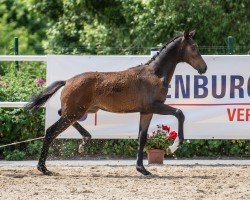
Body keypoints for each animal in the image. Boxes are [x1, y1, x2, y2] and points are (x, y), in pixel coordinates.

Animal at [26, 29, 208, 175]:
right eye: (194, 47)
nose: (204, 68)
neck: (155, 74)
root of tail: (68, 81)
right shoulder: (154, 106)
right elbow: (179, 113)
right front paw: (173, 146)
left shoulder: (146, 111)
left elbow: (142, 137)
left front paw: (142, 169)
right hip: (75, 111)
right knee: (51, 131)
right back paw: (43, 168)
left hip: (81, 110)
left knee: (60, 115)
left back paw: (85, 141)